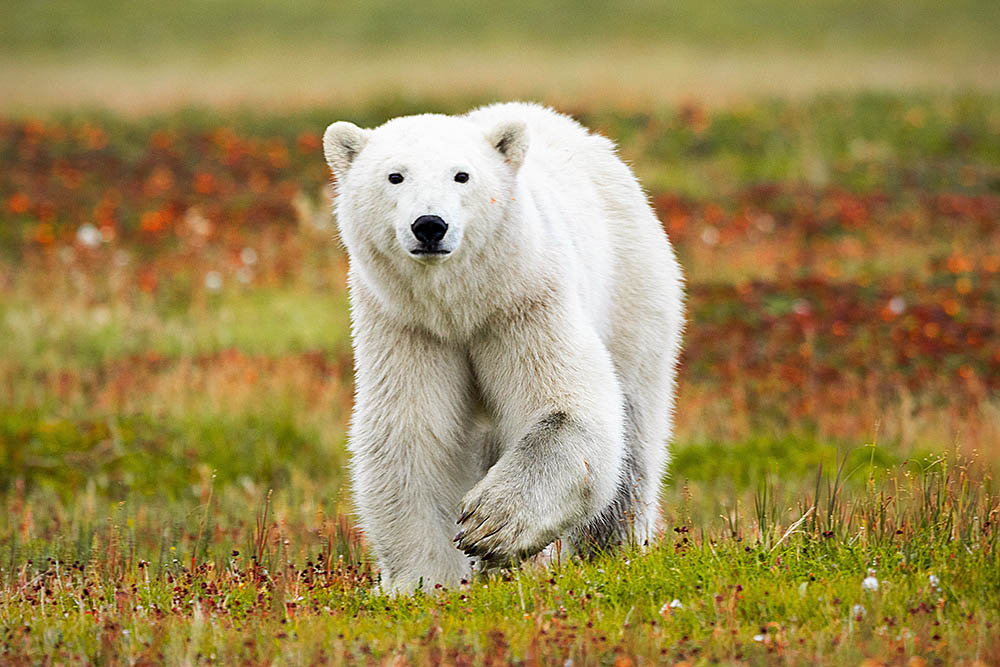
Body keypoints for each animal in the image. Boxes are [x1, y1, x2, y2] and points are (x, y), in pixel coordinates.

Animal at [324, 103, 684, 596]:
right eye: (395, 176)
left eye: (462, 175)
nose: (430, 225)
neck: (460, 307)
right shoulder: (406, 325)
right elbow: (411, 439)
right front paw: (425, 582)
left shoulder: (525, 301)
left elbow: (565, 407)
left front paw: (489, 525)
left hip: (634, 291)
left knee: (633, 433)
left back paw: (612, 548)